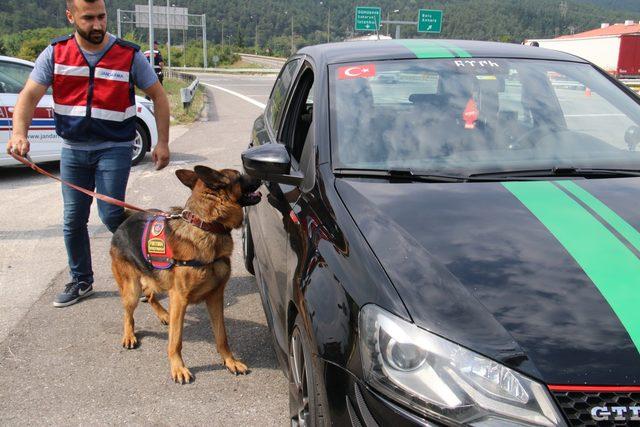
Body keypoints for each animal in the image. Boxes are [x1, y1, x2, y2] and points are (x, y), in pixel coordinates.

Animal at [109, 166, 260, 382]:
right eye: (239, 176)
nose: (261, 175)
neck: (206, 225)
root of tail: (124, 222)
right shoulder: (180, 299)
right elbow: (176, 340)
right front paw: (178, 367)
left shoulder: (215, 297)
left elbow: (222, 336)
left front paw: (230, 361)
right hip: (132, 289)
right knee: (128, 312)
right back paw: (129, 334)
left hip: (157, 281)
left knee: (150, 293)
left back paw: (164, 314)